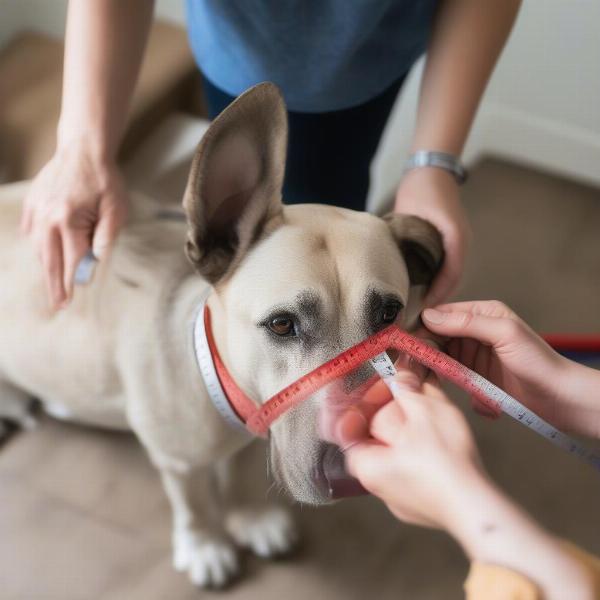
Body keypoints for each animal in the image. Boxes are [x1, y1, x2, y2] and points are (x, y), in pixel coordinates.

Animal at [0, 82, 440, 588]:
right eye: (282, 324)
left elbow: (237, 475)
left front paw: (248, 516)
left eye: (389, 315)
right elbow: (193, 504)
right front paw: (205, 543)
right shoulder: (178, 462)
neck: (208, 374)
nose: (352, 473)